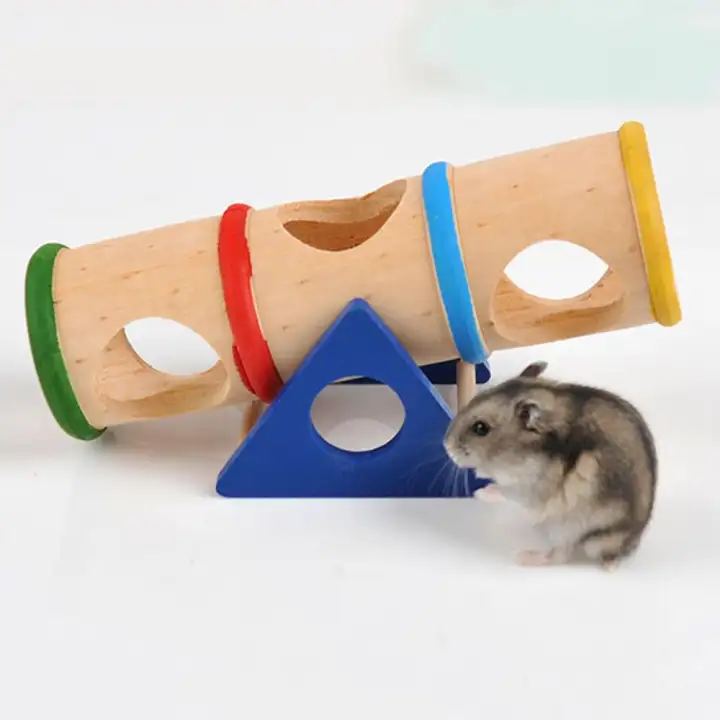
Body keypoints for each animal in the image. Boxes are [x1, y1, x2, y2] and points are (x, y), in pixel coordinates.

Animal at [443, 361, 657, 570]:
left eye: (480, 428)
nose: (446, 445)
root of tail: (620, 550)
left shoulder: (528, 488)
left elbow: (504, 490)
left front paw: (479, 493)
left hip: (568, 528)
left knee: (559, 556)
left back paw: (523, 557)